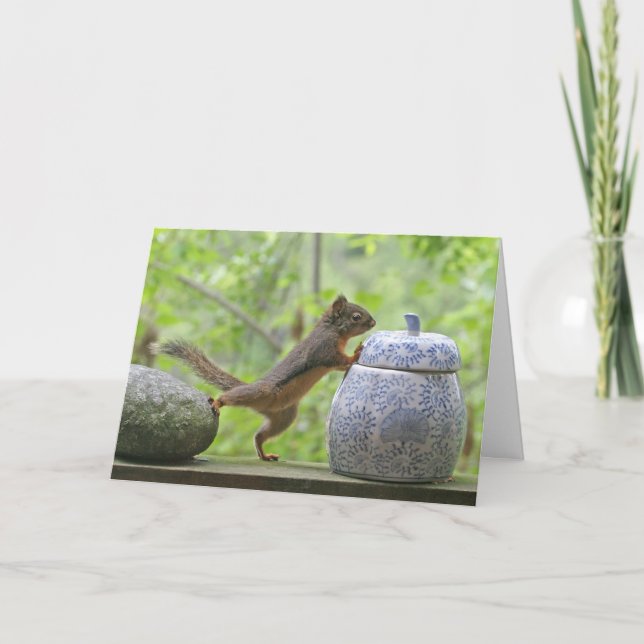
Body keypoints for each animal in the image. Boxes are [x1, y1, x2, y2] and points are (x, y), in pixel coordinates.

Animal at [158, 295, 376, 461]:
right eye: (356, 316)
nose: (373, 322)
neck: (333, 329)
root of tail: (264, 405)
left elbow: (340, 365)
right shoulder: (323, 348)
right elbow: (337, 359)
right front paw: (355, 354)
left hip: (284, 417)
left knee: (259, 436)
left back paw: (264, 454)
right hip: (261, 392)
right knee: (232, 396)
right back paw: (218, 402)